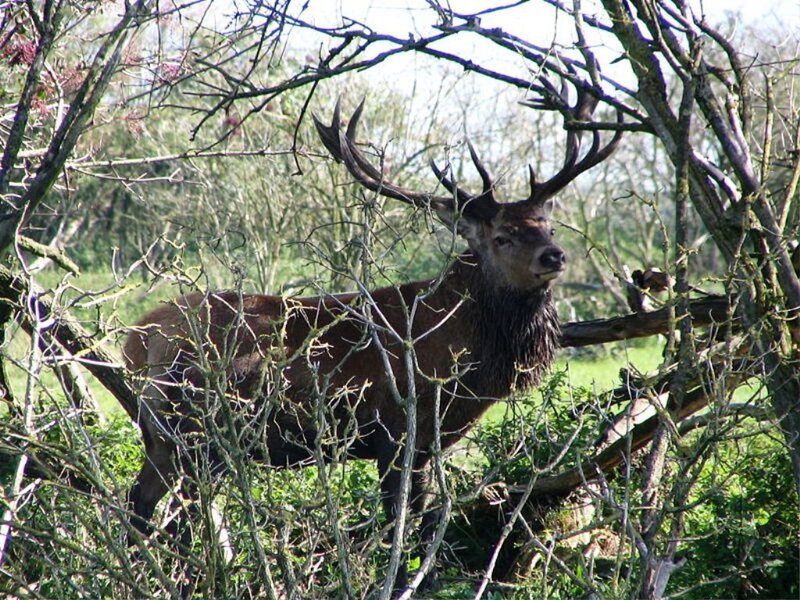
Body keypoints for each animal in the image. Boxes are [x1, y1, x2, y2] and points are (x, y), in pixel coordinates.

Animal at [121, 91, 621, 594]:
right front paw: (405, 582)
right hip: (196, 431)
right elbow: (401, 520)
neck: (455, 364)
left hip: (168, 438)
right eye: (502, 236)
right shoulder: (395, 431)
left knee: (143, 501)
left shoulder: (429, 444)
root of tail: (137, 342)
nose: (554, 256)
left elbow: (424, 518)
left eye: (548, 226)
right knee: (176, 511)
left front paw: (426, 580)